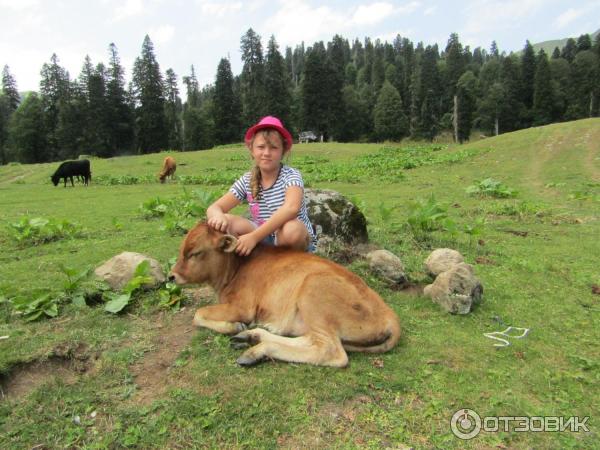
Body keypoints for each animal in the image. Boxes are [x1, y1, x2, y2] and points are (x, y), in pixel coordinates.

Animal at [170, 223, 404, 368]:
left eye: (195, 253)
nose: (172, 276)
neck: (235, 268)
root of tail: (390, 316)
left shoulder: (242, 307)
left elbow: (198, 314)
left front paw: (233, 326)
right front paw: (238, 329)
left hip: (314, 290)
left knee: (330, 351)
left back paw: (256, 349)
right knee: (309, 339)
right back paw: (252, 337)